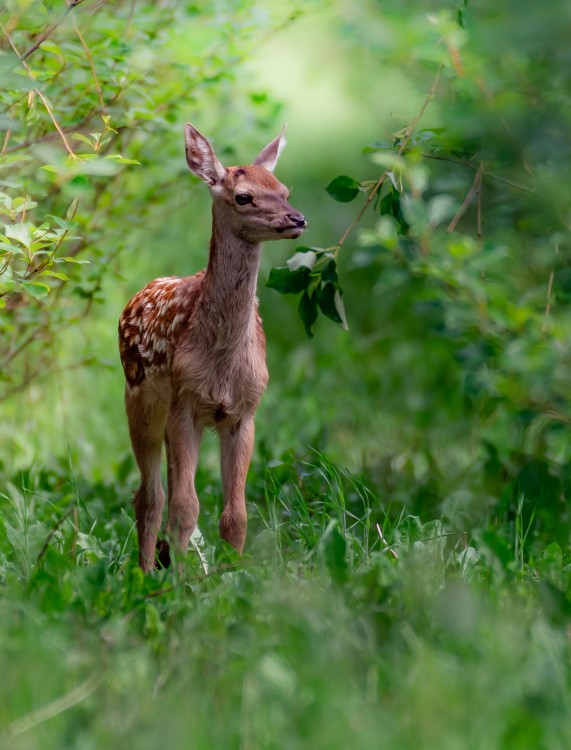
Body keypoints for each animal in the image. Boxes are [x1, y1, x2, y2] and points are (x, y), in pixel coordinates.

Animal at [117, 123, 308, 572]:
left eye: (284, 189)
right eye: (244, 196)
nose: (297, 218)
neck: (221, 360)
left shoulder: (243, 411)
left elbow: (235, 515)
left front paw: (230, 576)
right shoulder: (185, 403)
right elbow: (186, 507)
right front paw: (180, 582)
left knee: (164, 491)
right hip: (141, 400)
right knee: (150, 497)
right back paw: (146, 571)